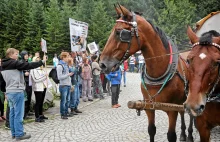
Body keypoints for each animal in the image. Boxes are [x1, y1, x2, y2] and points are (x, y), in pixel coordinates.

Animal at [100, 5, 194, 141]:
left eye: (118, 32)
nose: (102, 64)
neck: (158, 72)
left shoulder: (172, 110)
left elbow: (171, 135)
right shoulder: (149, 108)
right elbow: (151, 130)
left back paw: (190, 134)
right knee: (183, 112)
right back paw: (183, 133)